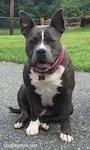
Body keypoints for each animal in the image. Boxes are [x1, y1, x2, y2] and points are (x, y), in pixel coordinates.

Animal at [9, 9, 75, 143]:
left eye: (51, 41)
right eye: (32, 41)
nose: (40, 51)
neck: (45, 72)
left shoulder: (67, 92)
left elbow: (65, 115)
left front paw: (66, 133)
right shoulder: (30, 91)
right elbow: (33, 111)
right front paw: (33, 126)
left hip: (70, 106)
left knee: (54, 117)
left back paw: (44, 123)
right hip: (22, 89)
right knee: (25, 111)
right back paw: (22, 121)